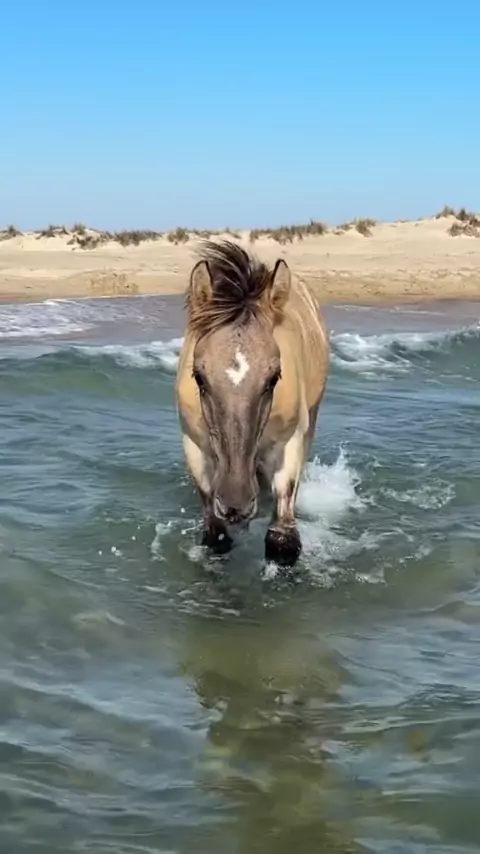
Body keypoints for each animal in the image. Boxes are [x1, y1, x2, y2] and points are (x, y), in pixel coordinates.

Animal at [175, 240, 329, 567]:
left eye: (274, 377)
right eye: (199, 377)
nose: (236, 504)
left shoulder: (288, 445)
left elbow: (282, 539)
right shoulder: (194, 448)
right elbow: (215, 536)